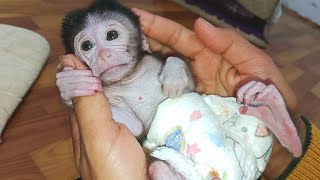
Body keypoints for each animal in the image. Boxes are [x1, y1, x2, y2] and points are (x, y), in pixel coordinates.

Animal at [57, 0, 302, 179]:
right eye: (87, 46)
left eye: (111, 35)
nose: (103, 55)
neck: (130, 78)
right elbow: (135, 127)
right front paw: (70, 85)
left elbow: (185, 76)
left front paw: (174, 75)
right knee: (160, 169)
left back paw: (260, 92)